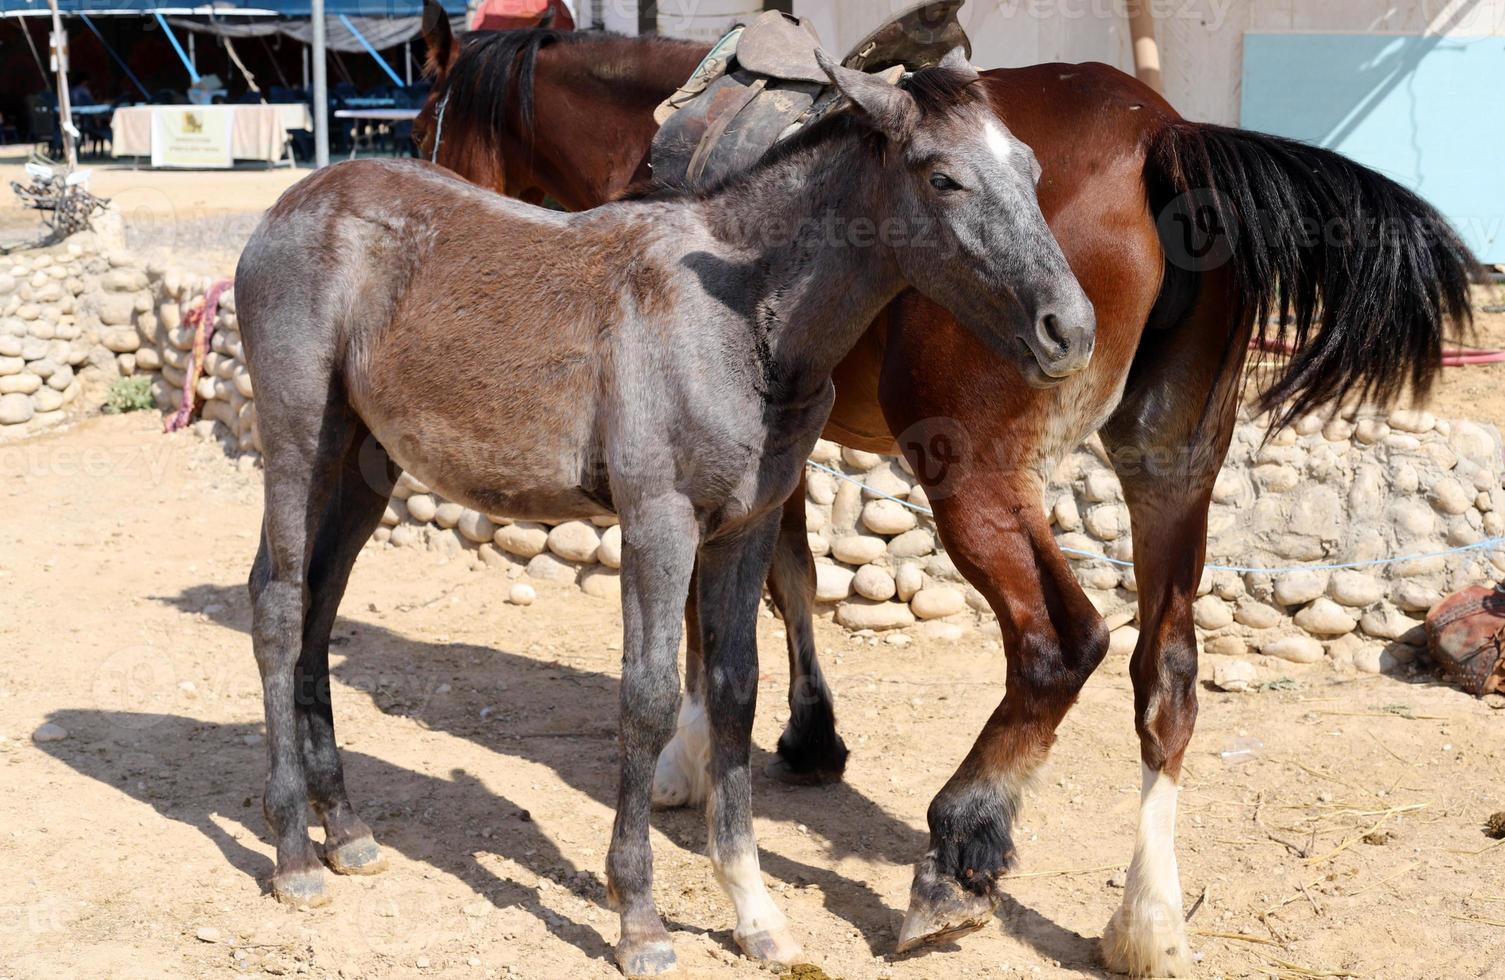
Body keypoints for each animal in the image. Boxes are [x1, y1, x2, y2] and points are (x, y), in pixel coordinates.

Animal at [409, 13, 1468, 975]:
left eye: (420, 118)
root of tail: (1159, 135)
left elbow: (736, 612)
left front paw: (696, 758)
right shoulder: (767, 452)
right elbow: (785, 583)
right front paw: (801, 737)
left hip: (977, 473)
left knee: (1059, 644)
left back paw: (955, 858)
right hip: (1173, 464)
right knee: (1165, 675)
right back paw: (1149, 921)